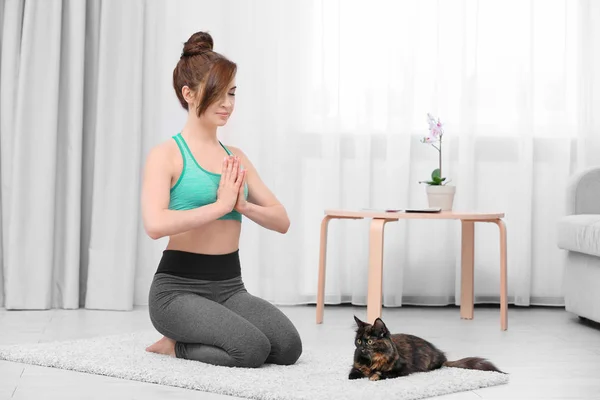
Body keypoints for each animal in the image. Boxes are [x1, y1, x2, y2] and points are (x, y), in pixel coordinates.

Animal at [350, 316, 504, 382]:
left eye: (370, 341)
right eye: (359, 341)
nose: (361, 348)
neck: (372, 361)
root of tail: (441, 356)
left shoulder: (402, 369)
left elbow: (383, 373)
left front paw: (374, 375)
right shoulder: (355, 366)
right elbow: (353, 374)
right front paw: (363, 374)